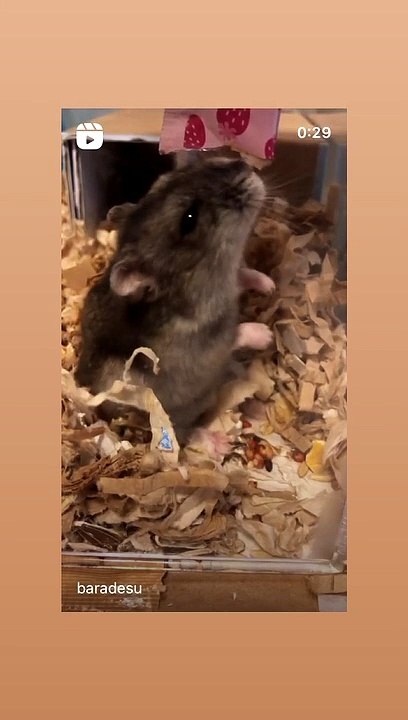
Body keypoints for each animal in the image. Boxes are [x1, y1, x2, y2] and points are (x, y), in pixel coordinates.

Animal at [75, 156, 266, 446]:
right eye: (189, 219)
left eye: (172, 175)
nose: (246, 167)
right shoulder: (209, 346)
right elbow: (236, 333)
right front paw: (265, 334)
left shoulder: (233, 280)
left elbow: (245, 276)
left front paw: (269, 283)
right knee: (184, 433)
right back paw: (217, 442)